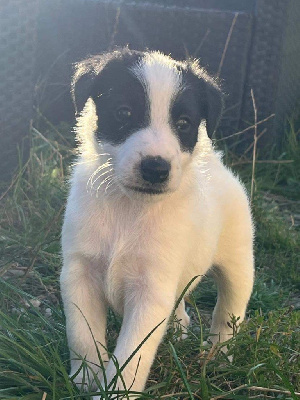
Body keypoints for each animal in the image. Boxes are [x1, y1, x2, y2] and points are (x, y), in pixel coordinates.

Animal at [59, 47, 254, 396]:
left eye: (184, 123)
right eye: (124, 112)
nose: (156, 168)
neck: (129, 209)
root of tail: (216, 163)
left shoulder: (150, 292)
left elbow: (131, 356)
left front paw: (117, 392)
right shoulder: (79, 274)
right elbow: (81, 334)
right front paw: (87, 377)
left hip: (239, 266)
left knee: (229, 313)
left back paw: (219, 356)